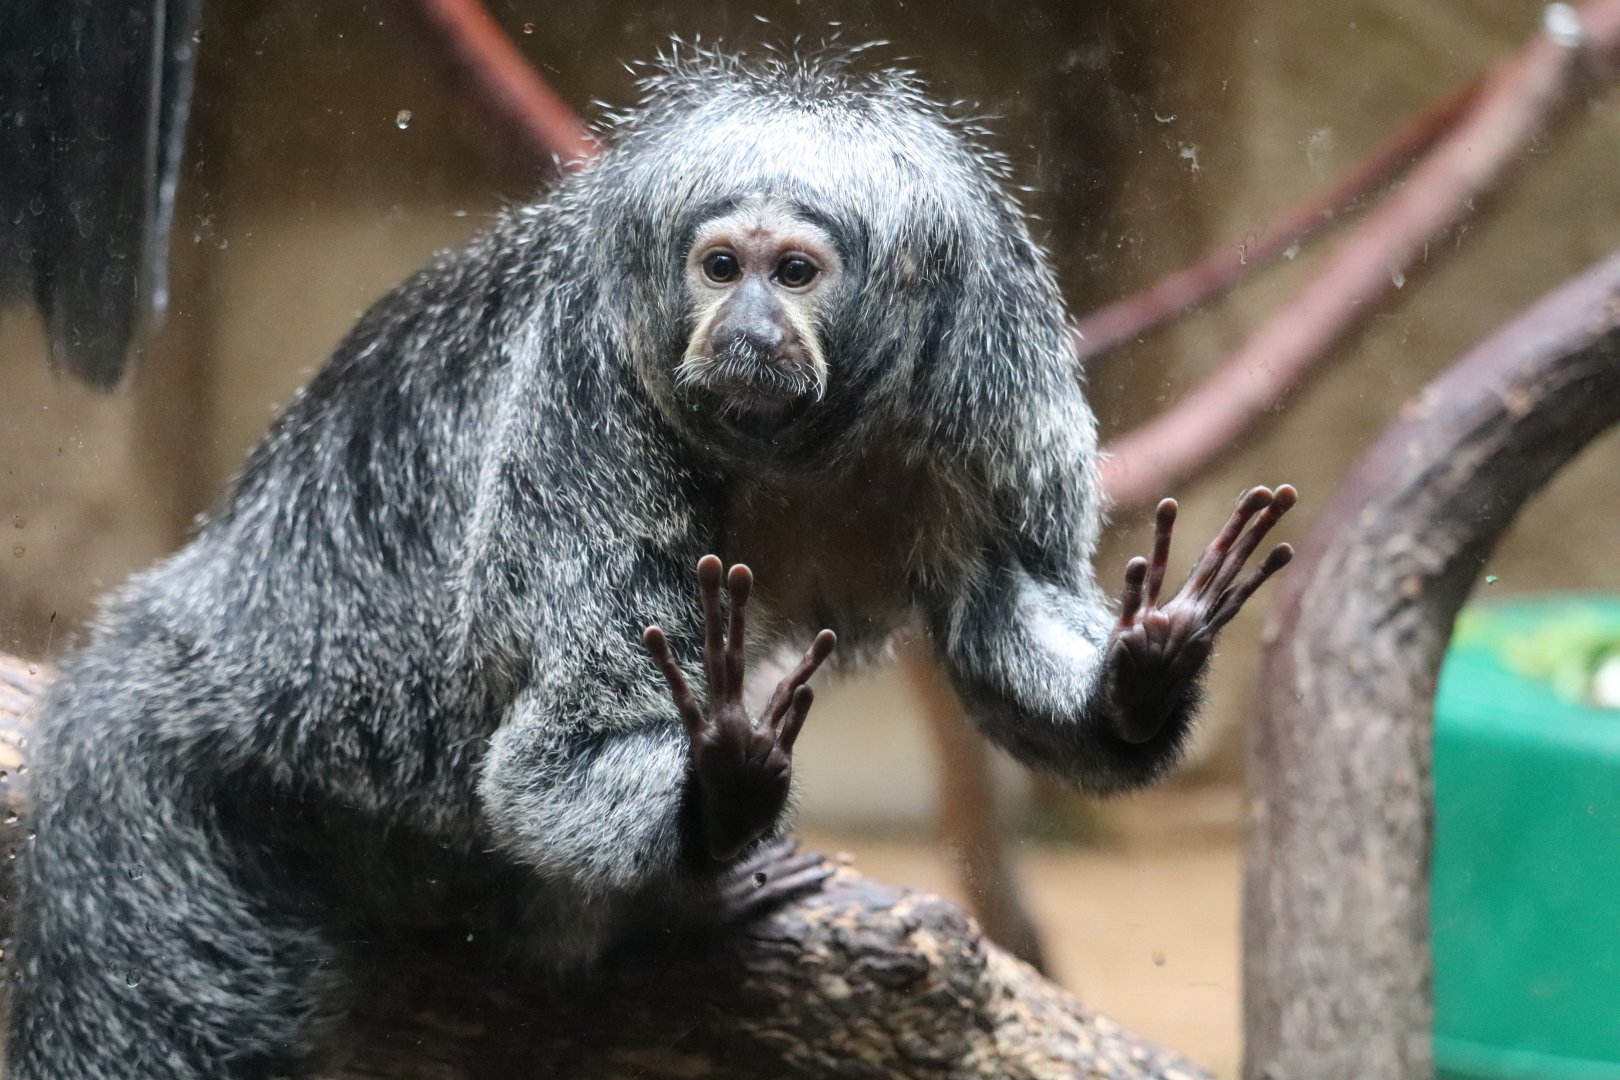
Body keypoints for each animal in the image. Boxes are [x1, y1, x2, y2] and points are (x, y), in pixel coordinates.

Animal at [4, 48, 1294, 1078]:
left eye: (795, 272)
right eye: (720, 267)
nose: (747, 326)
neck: (800, 444)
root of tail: (201, 637)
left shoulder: (991, 376)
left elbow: (999, 613)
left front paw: (1145, 674)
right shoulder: (585, 398)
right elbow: (556, 754)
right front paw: (721, 780)